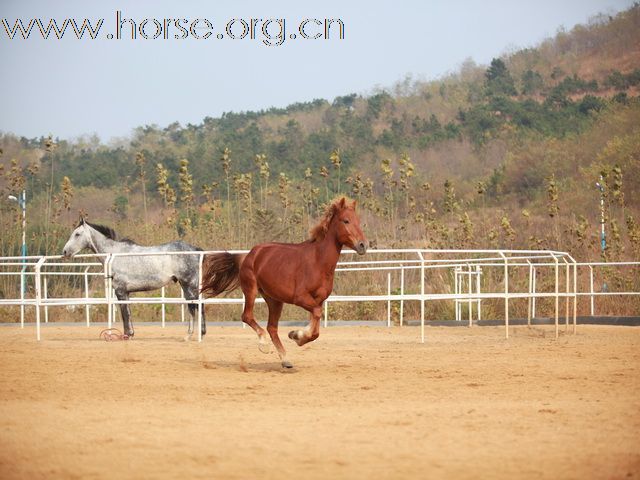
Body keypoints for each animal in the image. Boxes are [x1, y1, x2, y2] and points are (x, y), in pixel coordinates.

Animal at [62, 220, 205, 338]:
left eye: (77, 234)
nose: (64, 252)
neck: (116, 254)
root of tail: (196, 250)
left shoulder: (120, 291)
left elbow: (124, 313)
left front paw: (127, 335)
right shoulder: (126, 293)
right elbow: (128, 313)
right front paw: (131, 333)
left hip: (189, 284)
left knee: (196, 305)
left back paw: (193, 334)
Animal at [202, 197, 368, 370]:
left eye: (358, 221)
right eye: (346, 221)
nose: (363, 245)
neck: (318, 261)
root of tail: (248, 255)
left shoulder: (319, 300)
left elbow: (316, 326)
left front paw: (296, 335)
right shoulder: (300, 298)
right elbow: (316, 316)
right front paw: (297, 336)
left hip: (275, 300)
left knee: (272, 327)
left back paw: (285, 359)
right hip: (251, 290)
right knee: (247, 316)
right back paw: (264, 345)